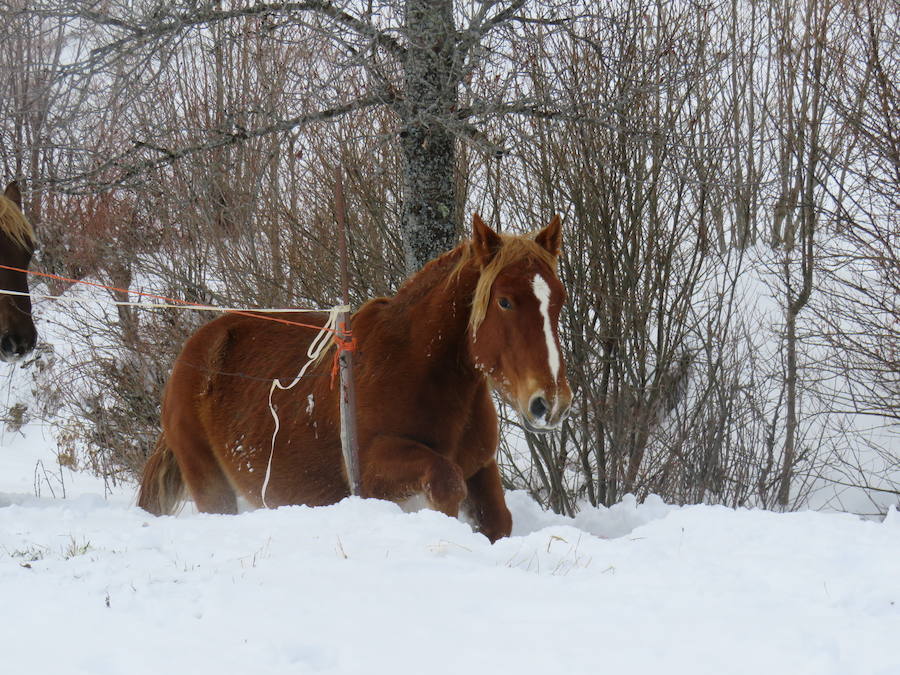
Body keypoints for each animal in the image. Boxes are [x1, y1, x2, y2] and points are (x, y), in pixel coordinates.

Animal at [139, 214, 576, 540]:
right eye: (504, 301)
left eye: (559, 299)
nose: (550, 403)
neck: (419, 372)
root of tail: (189, 356)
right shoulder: (372, 473)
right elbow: (445, 479)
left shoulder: (480, 465)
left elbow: (497, 520)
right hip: (211, 486)